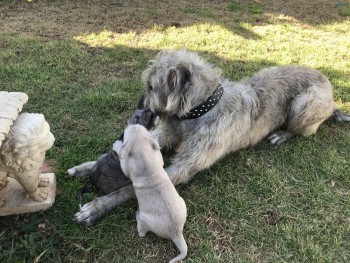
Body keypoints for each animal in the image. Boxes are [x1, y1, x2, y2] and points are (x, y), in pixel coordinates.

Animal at [72, 50, 350, 227]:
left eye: (151, 86)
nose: (141, 106)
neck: (198, 111)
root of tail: (331, 92)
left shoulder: (183, 166)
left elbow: (129, 188)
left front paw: (96, 207)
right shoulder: (166, 134)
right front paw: (87, 167)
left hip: (306, 103)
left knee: (303, 129)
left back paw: (282, 134)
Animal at [113, 125, 187, 263]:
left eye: (126, 134)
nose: (133, 124)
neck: (144, 155)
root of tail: (176, 233)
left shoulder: (127, 166)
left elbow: (122, 159)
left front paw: (117, 146)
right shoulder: (156, 155)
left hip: (145, 220)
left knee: (141, 232)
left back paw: (137, 216)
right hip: (182, 202)